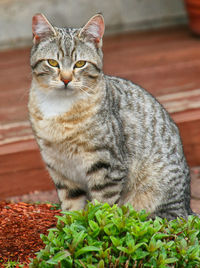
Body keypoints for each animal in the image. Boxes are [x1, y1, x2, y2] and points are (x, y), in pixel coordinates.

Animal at [28, 13, 194, 220]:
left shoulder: (106, 166)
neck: (59, 108)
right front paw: (70, 225)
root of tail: (187, 208)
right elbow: (72, 207)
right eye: (52, 62)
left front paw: (95, 224)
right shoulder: (59, 169)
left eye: (80, 64)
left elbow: (103, 206)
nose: (66, 79)